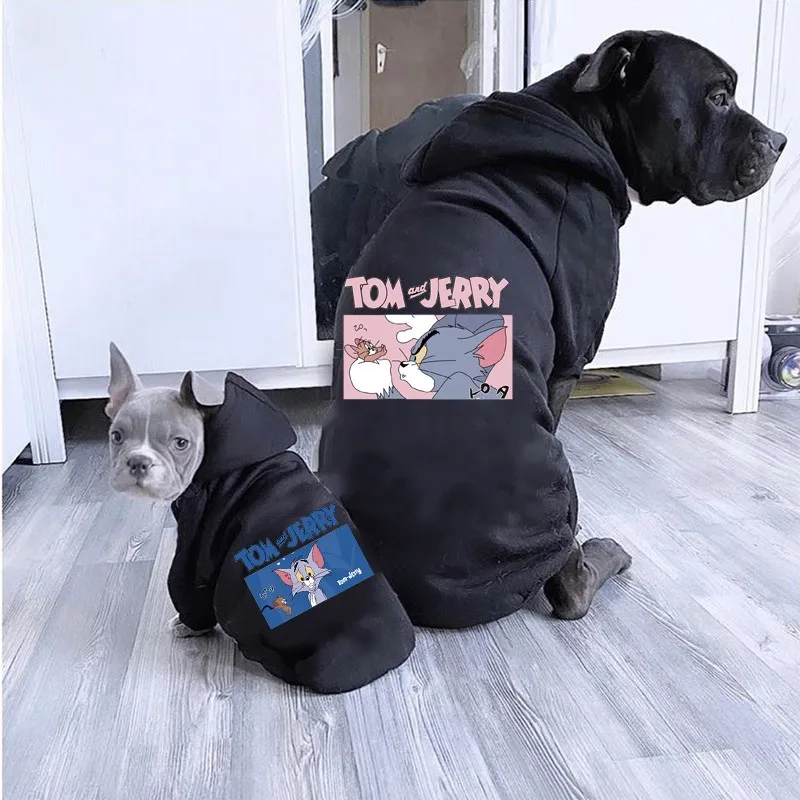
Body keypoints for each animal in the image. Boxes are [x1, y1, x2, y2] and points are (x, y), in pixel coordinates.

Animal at [105, 344, 414, 693]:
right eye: (116, 436)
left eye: (180, 443)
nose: (138, 461)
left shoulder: (193, 545)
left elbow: (188, 589)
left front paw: (187, 625)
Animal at [319, 31, 786, 628]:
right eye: (719, 98)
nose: (780, 140)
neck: (579, 121)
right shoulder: (568, 358)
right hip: (553, 482)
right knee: (569, 587)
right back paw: (603, 554)